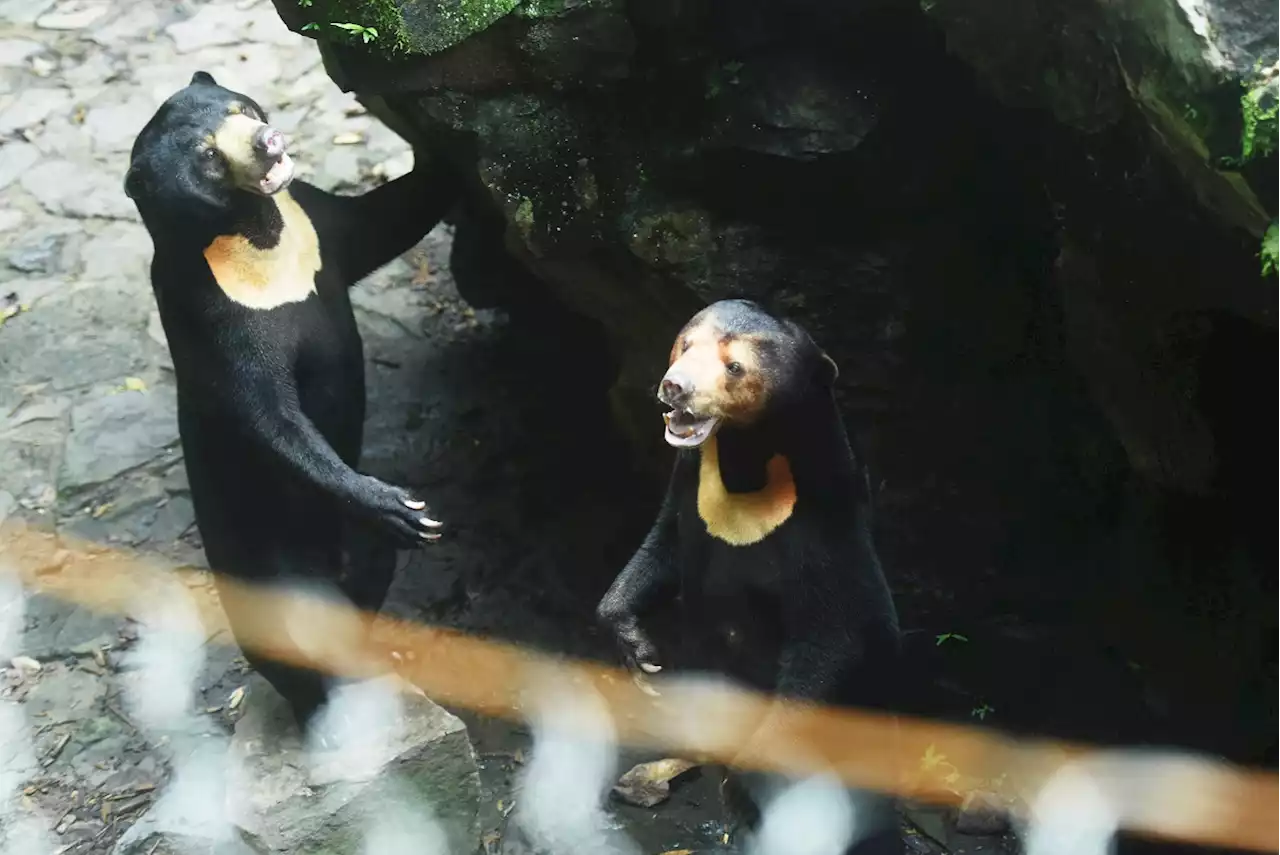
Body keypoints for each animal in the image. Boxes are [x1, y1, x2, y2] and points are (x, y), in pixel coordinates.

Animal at [596, 299, 901, 855]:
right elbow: (662, 546)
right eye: (685, 345)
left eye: (734, 367)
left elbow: (830, 639)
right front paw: (641, 655)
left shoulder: (826, 530)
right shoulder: (689, 483)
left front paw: (743, 784)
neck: (746, 468)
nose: (674, 387)